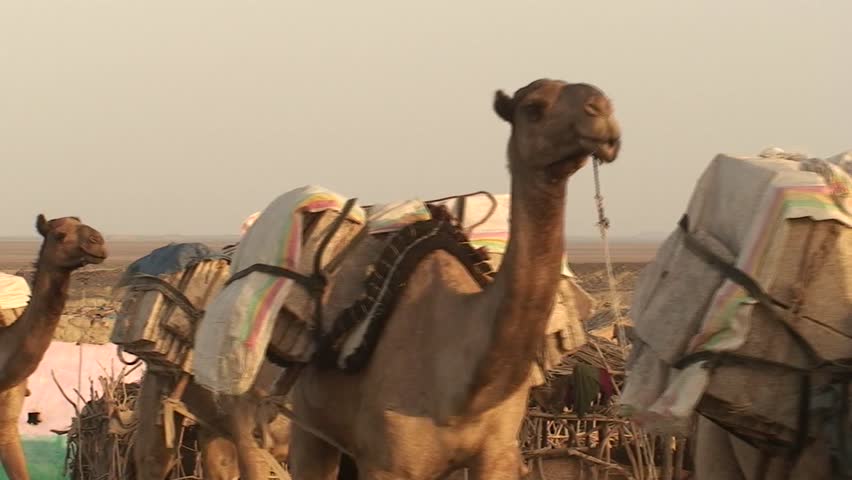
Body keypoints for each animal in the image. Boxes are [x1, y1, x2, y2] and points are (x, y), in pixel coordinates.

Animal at [282, 78, 621, 479]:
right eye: (534, 108)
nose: (601, 112)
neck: (466, 395)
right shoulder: (386, 463)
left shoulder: (498, 454)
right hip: (308, 424)